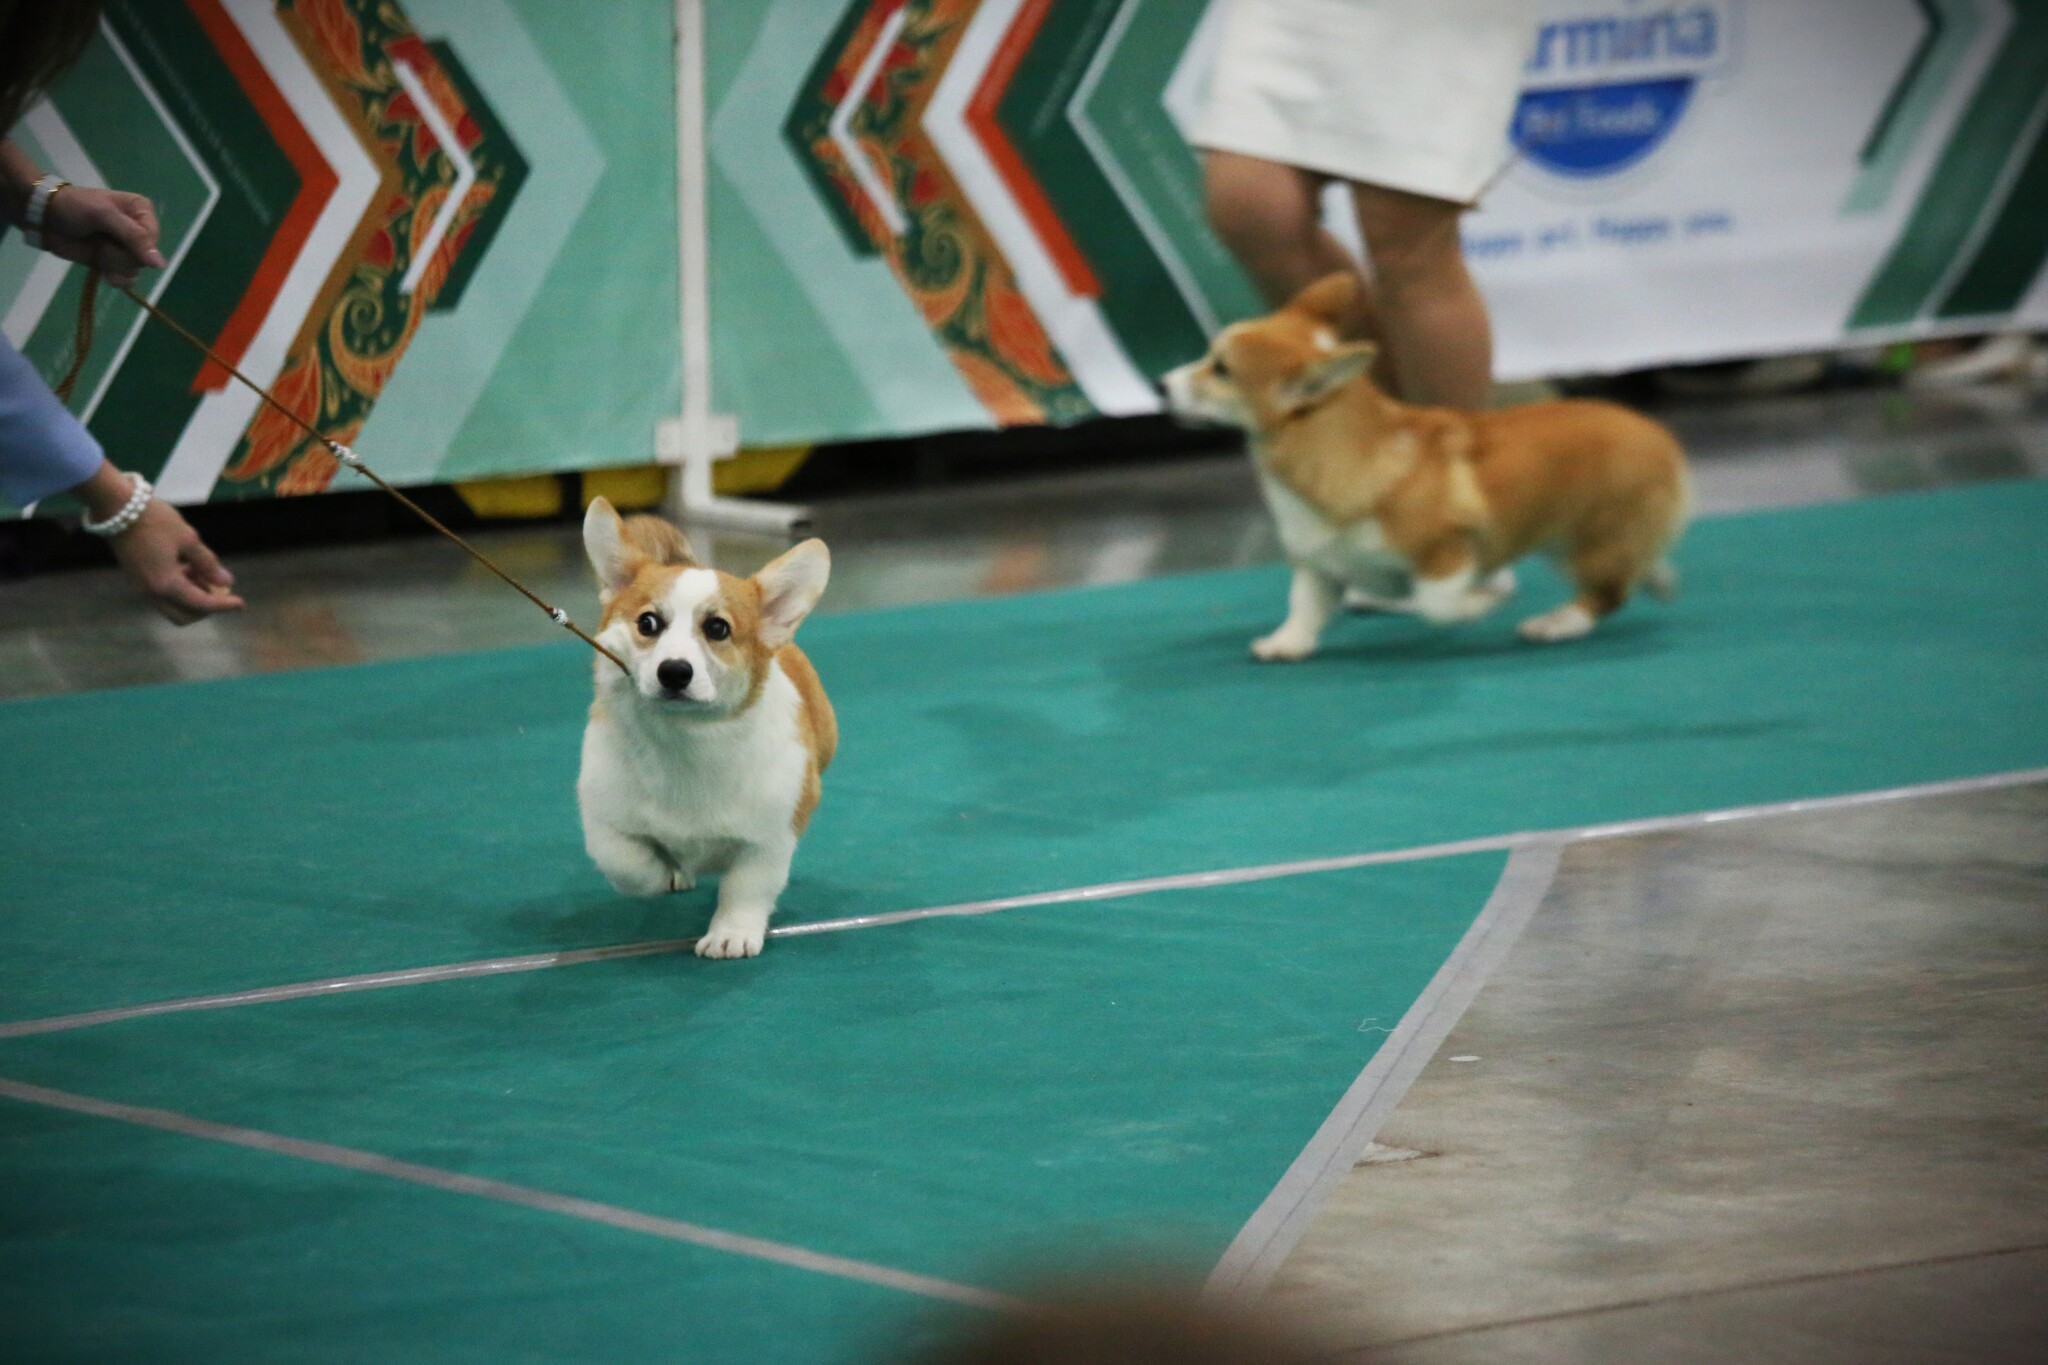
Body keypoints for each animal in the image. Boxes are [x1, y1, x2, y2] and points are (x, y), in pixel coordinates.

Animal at [577, 498, 836, 958]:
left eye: (718, 629)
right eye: (647, 623)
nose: (674, 672)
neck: (685, 740)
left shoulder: (771, 837)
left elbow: (745, 888)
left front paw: (731, 934)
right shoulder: (604, 817)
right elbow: (627, 864)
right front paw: (662, 873)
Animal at [1162, 272, 1688, 660]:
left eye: (1221, 369)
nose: (1161, 385)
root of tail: (1656, 432)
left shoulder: (1444, 552)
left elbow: (1436, 604)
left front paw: (1479, 604)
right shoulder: (1318, 564)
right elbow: (1304, 605)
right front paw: (1285, 645)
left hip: (1595, 537)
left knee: (1607, 591)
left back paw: (1554, 623)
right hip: (1566, 538)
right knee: (1628, 574)